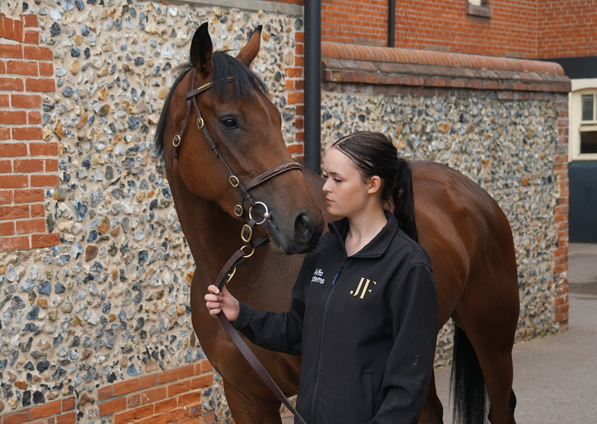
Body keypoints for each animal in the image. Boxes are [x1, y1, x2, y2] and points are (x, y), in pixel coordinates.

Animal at [154, 22, 516, 424]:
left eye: (277, 118)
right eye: (229, 121)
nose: (305, 223)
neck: (247, 271)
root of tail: (474, 194)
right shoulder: (245, 396)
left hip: (492, 339)